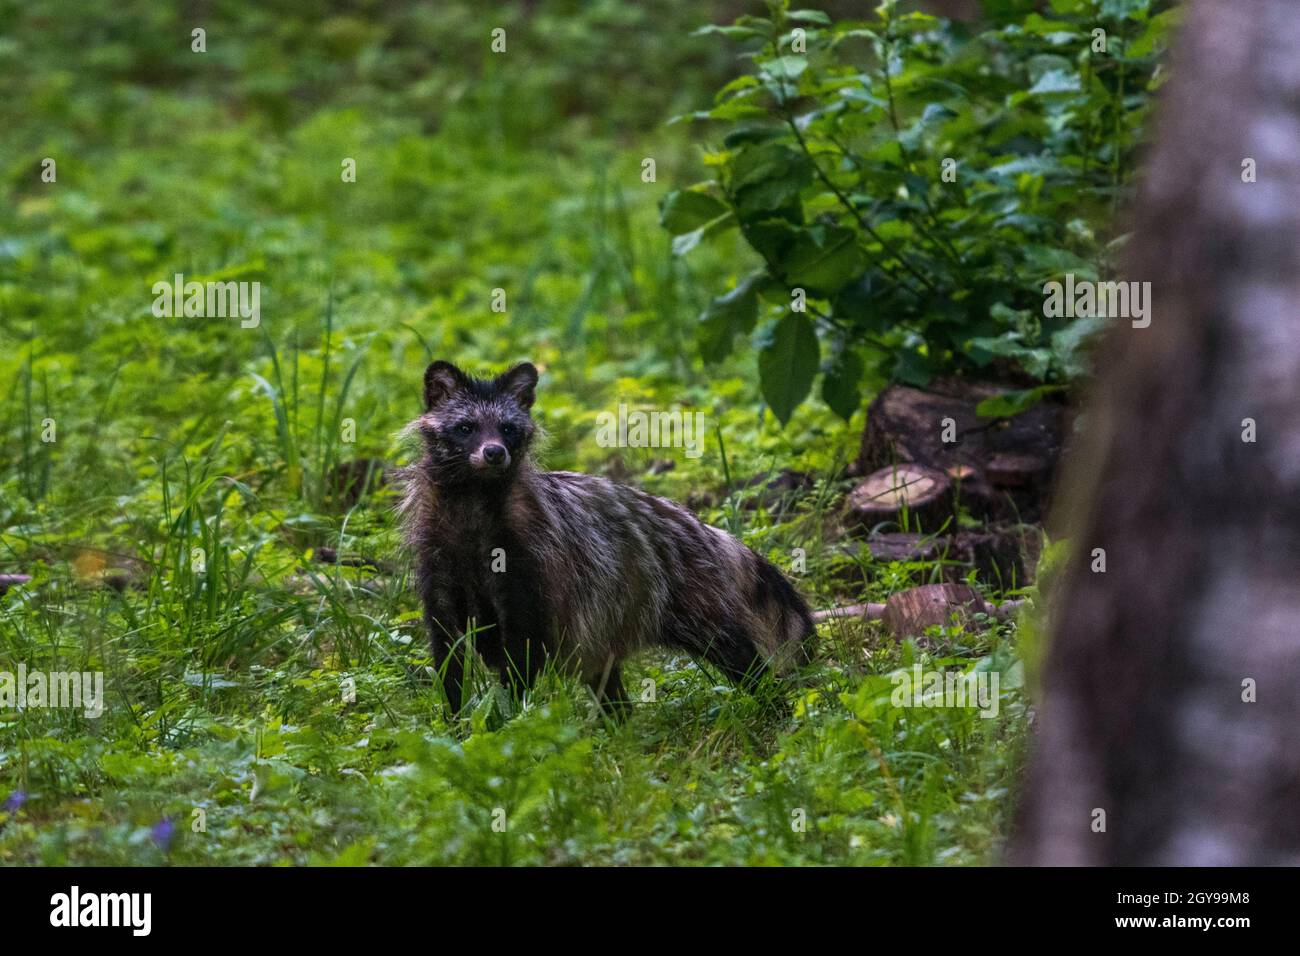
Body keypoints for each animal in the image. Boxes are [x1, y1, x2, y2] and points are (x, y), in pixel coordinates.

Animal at [400, 361, 816, 712]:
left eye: (507, 428)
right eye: (465, 427)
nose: (494, 453)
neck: (473, 497)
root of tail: (699, 526)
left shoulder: (529, 559)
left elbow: (522, 650)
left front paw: (505, 719)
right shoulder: (438, 556)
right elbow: (448, 650)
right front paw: (457, 720)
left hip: (688, 594)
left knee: (733, 650)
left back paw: (772, 701)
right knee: (605, 679)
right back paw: (620, 722)